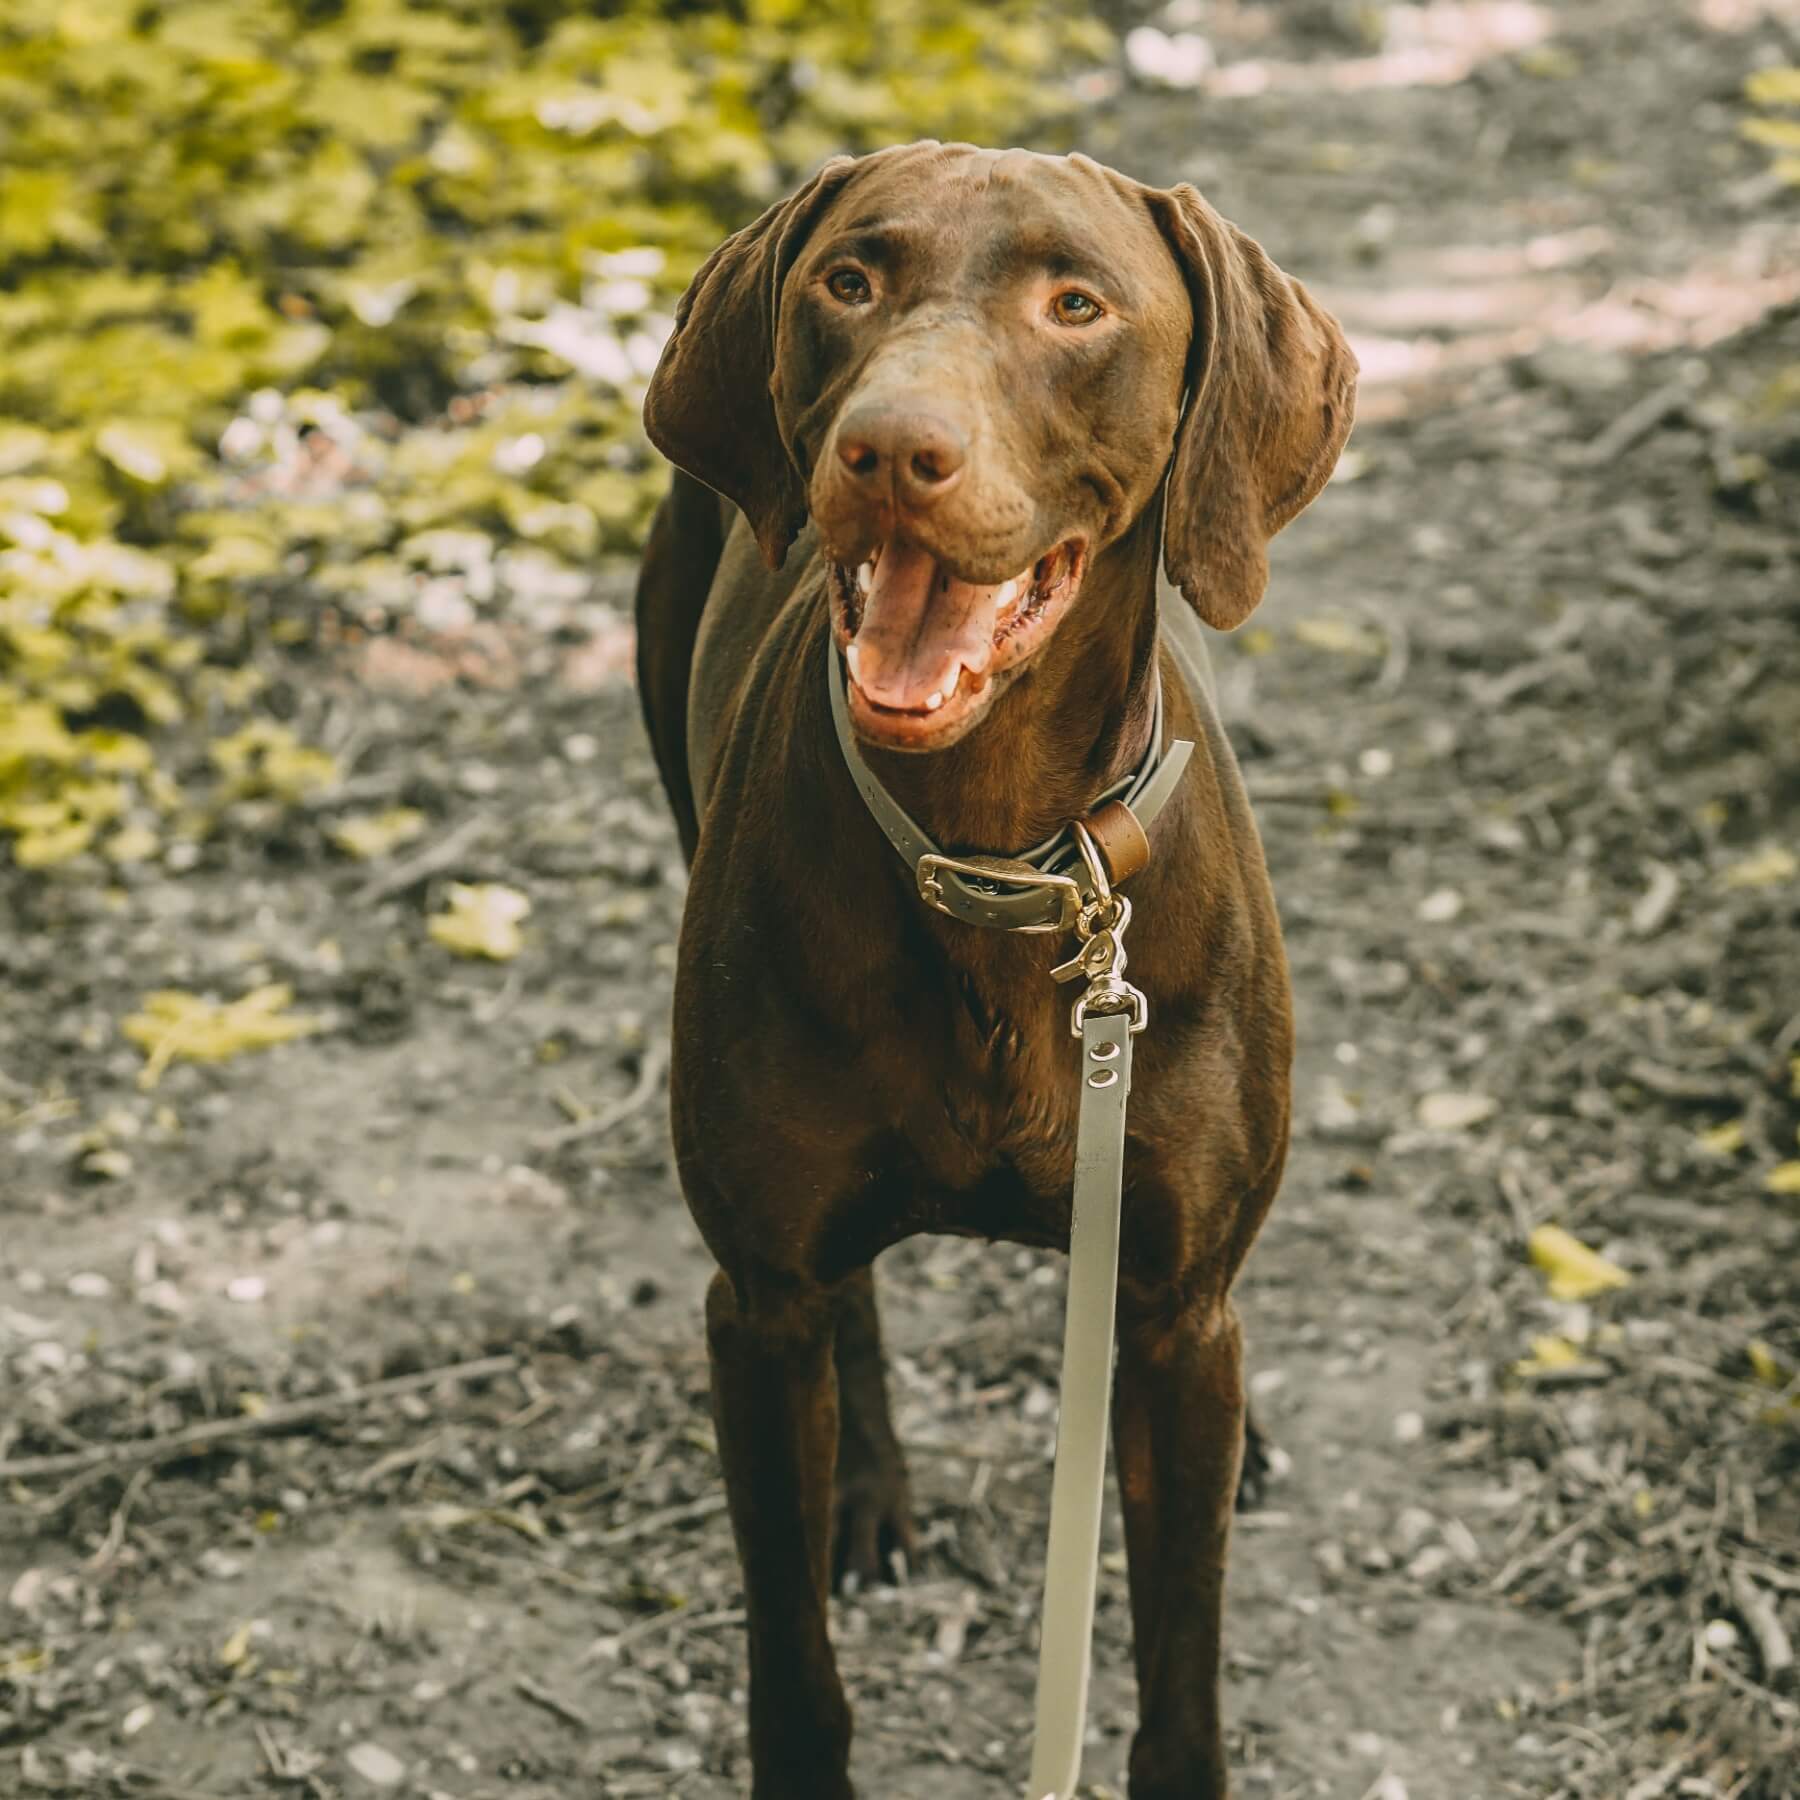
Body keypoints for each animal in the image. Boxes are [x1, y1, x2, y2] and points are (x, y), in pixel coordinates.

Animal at [633, 144, 1353, 1800]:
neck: (1005, 861)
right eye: (849, 280)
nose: (892, 451)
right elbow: (792, 1668)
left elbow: (1179, 1656)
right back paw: (871, 1491)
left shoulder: (1173, 1314)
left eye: (1074, 305)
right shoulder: (755, 1303)